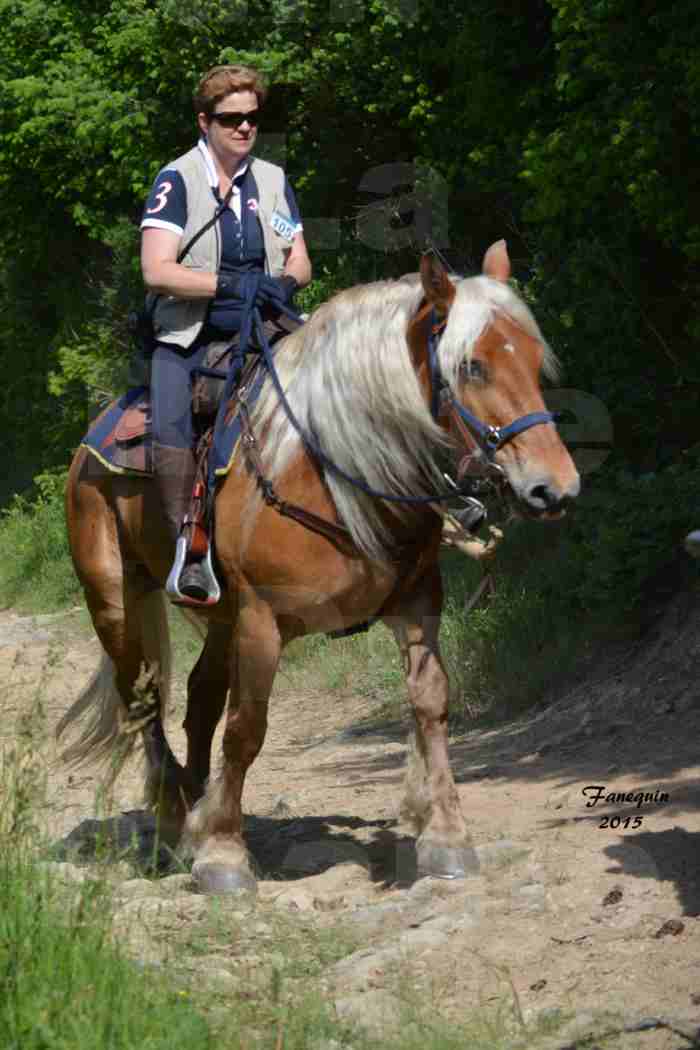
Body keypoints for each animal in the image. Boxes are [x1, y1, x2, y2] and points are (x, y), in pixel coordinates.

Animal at [58, 243, 579, 894]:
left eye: (533, 359)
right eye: (473, 367)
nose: (555, 488)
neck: (331, 468)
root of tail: (94, 434)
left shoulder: (415, 604)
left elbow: (431, 705)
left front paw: (446, 837)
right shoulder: (261, 622)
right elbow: (247, 728)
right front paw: (224, 854)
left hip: (219, 617)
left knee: (200, 700)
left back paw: (194, 808)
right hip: (116, 601)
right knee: (145, 703)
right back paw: (176, 824)